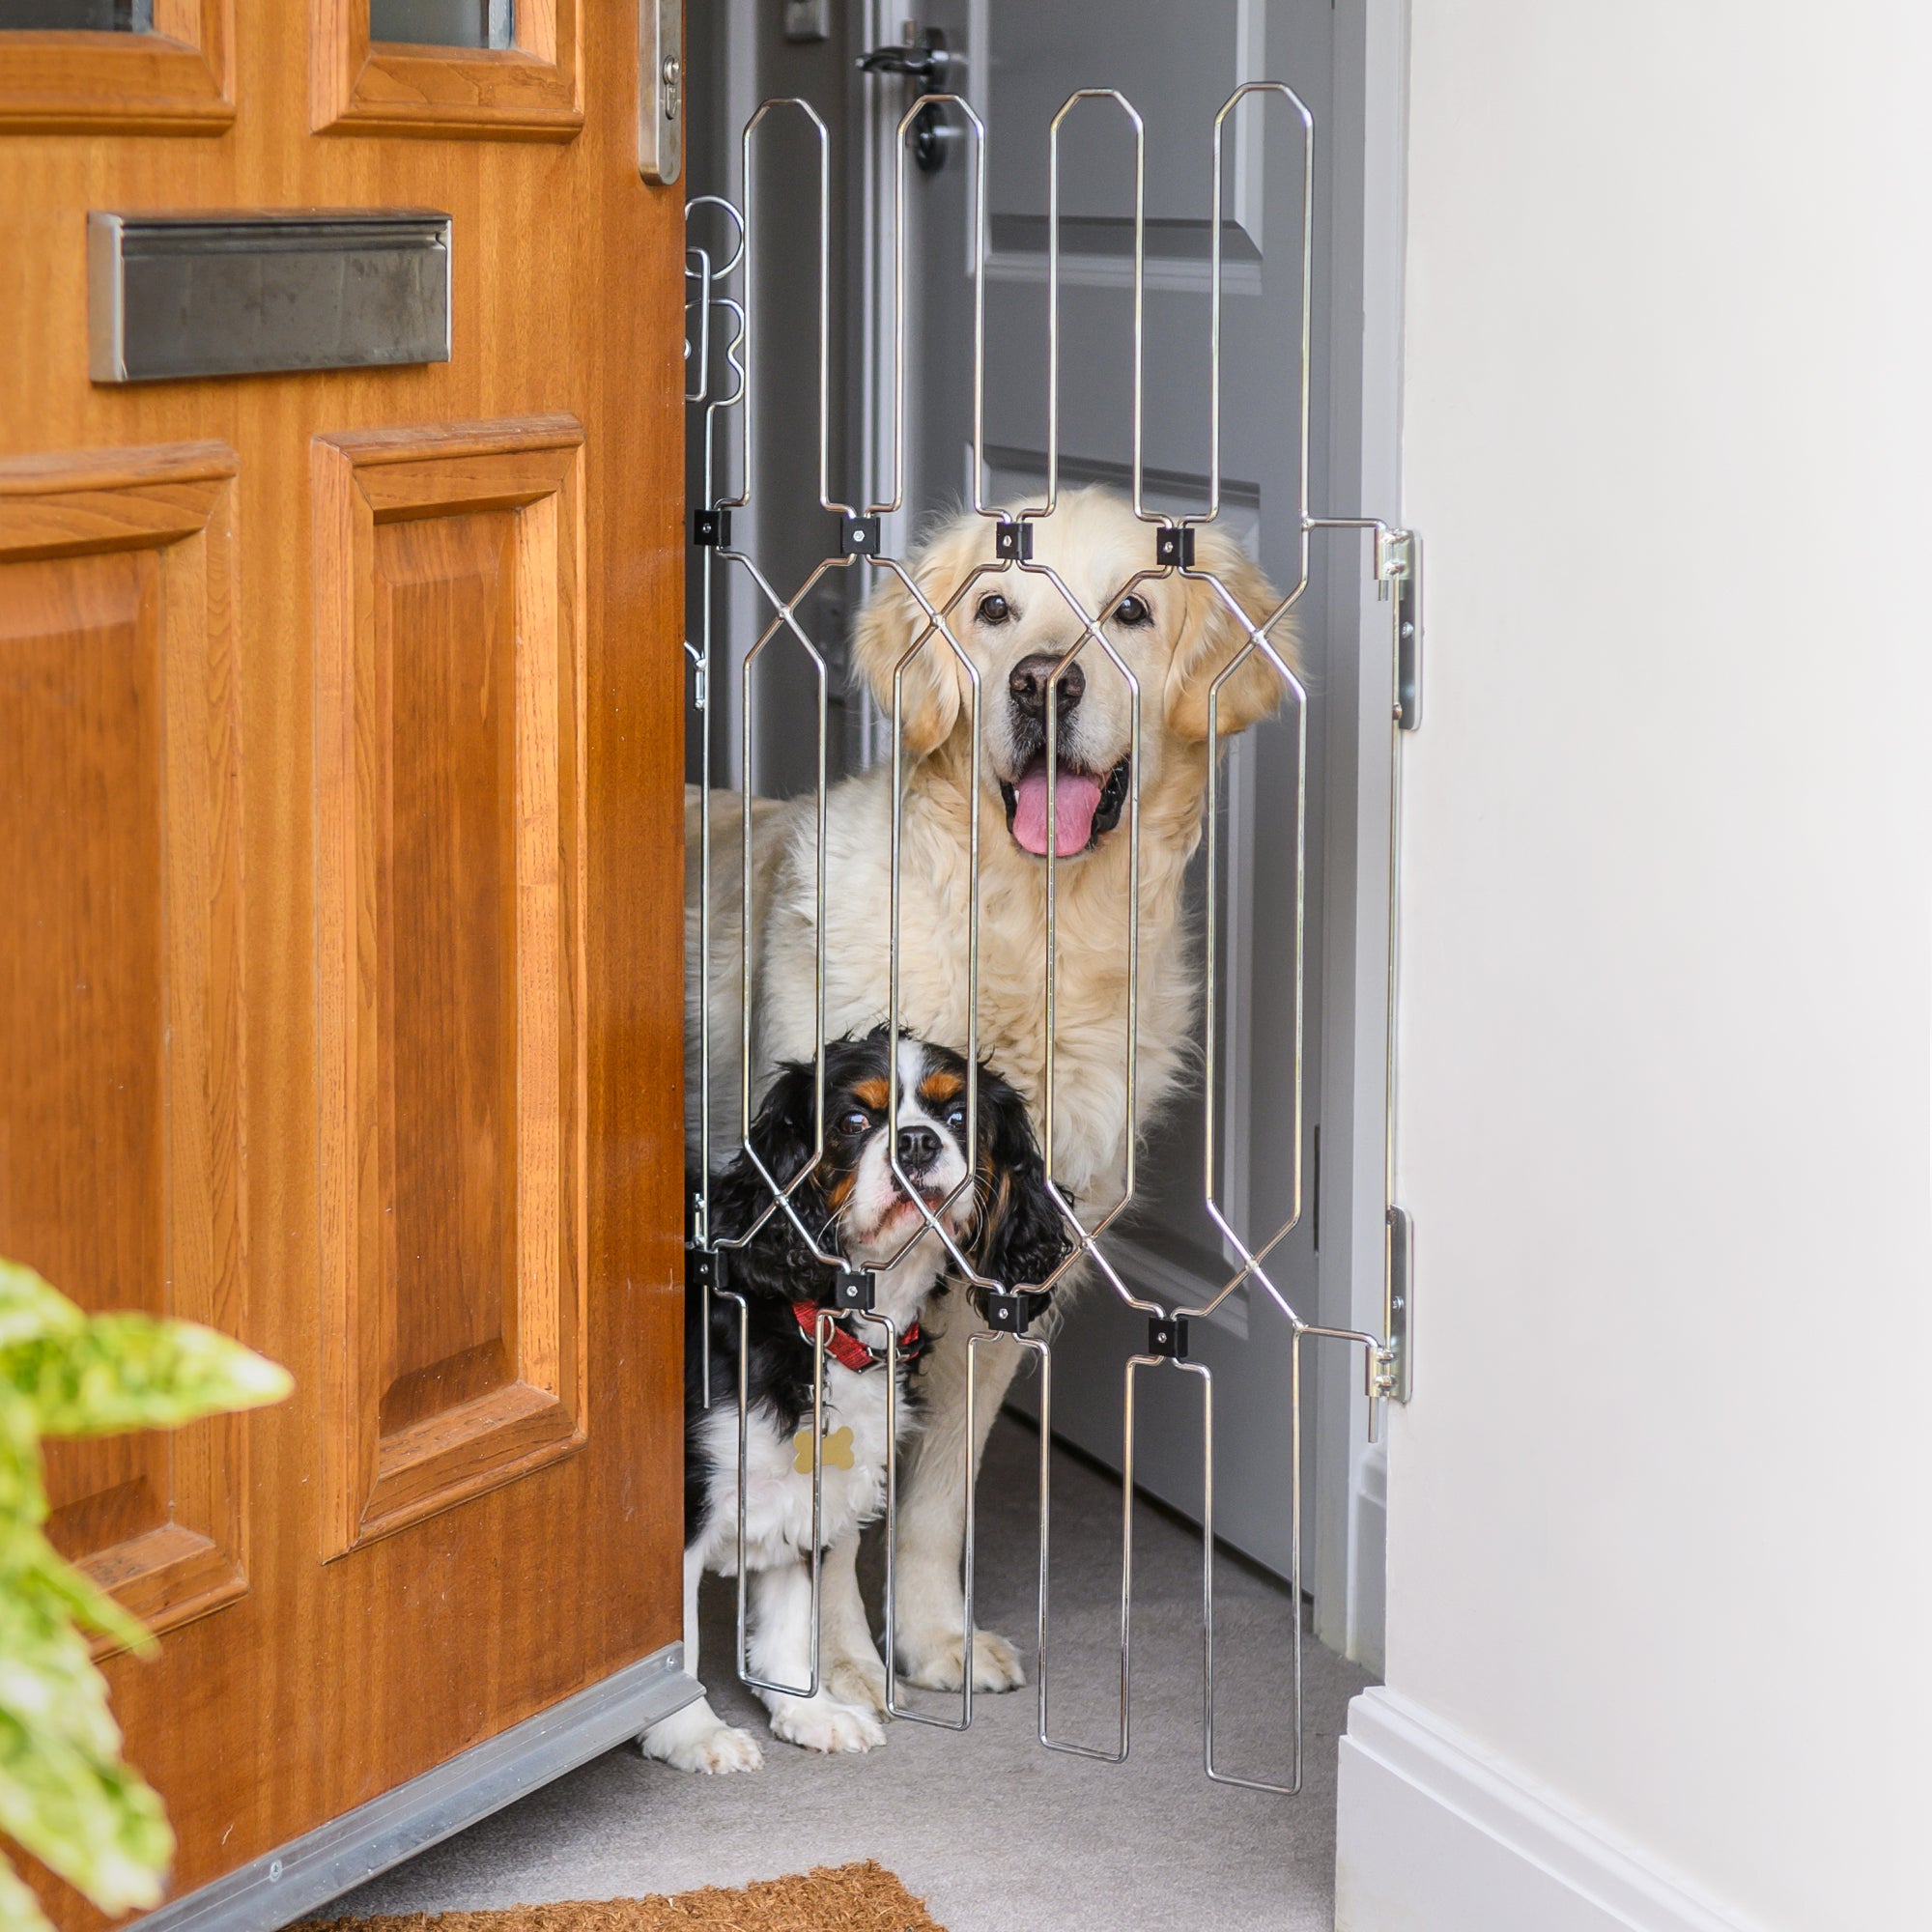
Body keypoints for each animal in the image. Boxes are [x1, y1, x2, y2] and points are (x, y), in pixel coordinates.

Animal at [688, 487, 1291, 1723]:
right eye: (996, 608)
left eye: (1131, 609)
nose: (1041, 683)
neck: (1025, 931)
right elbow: (833, 1502)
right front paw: (839, 1667)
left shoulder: (1005, 1282)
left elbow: (927, 1497)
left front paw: (931, 1638)